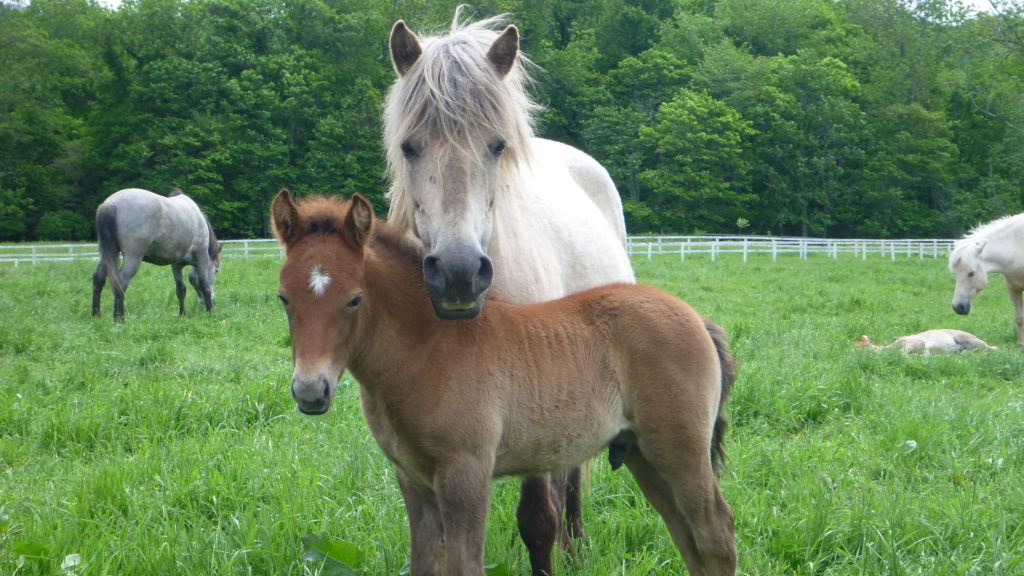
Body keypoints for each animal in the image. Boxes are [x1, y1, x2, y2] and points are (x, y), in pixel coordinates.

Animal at [91, 187, 221, 317]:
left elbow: (181, 289)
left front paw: (182, 314)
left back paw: (97, 314)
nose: (207, 301)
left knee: (99, 278)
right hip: (133, 258)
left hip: (108, 254)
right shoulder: (202, 258)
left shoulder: (176, 265)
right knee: (121, 283)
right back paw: (120, 317)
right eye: (216, 271)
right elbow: (205, 286)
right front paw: (210, 312)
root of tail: (111, 204)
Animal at [272, 191, 737, 573]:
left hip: (679, 450)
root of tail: (697, 318)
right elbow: (426, 564)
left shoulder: (466, 474)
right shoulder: (413, 480)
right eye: (283, 298)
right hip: (643, 454)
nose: (311, 391)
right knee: (687, 537)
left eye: (354, 299)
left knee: (716, 533)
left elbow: (465, 566)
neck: (427, 350)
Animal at [946, 212, 1024, 342]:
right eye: (955, 274)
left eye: (971, 273)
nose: (958, 307)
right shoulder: (1013, 288)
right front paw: (1020, 344)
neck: (1017, 246)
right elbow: (1019, 318)